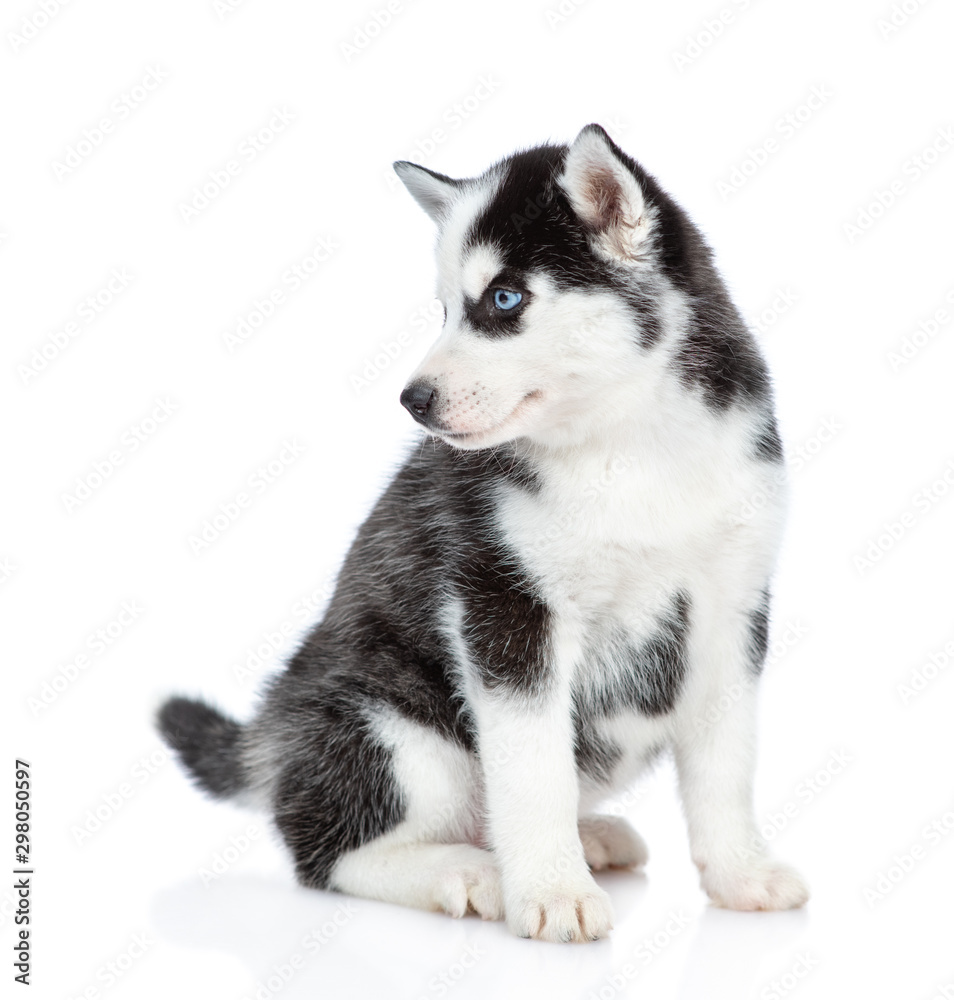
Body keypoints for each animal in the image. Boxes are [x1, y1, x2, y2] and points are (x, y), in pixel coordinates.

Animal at [156, 123, 804, 936]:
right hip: (392, 731)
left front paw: (741, 874)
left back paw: (581, 839)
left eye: (503, 298)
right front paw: (553, 894)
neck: (628, 445)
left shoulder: (732, 611)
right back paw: (465, 872)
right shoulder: (505, 606)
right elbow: (533, 771)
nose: (413, 400)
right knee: (329, 853)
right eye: (444, 312)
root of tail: (271, 735)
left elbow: (727, 764)